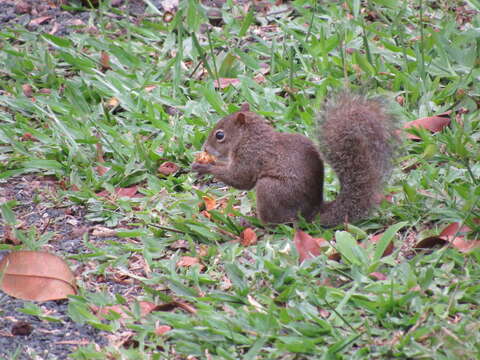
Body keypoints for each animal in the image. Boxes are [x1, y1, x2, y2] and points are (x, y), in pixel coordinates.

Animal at [191, 94, 398, 226]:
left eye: (220, 135)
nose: (205, 149)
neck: (250, 137)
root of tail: (312, 213)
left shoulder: (251, 156)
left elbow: (240, 179)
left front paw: (204, 166)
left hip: (270, 189)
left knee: (277, 222)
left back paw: (255, 223)